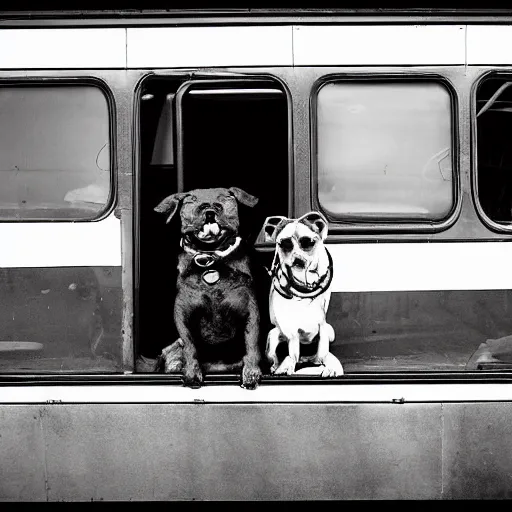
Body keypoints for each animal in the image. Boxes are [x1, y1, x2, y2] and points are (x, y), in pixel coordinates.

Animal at [154, 187, 262, 388]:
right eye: (191, 199)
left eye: (225, 197)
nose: (210, 208)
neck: (211, 259)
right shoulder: (182, 312)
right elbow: (189, 344)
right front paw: (192, 372)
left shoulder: (250, 309)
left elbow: (251, 341)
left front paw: (251, 372)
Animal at [262, 211, 342, 376]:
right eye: (284, 244)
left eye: (308, 242)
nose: (298, 259)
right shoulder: (291, 331)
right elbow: (293, 353)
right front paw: (287, 366)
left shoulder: (322, 326)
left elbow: (322, 351)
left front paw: (326, 366)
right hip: (273, 335)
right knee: (275, 354)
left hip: (330, 332)